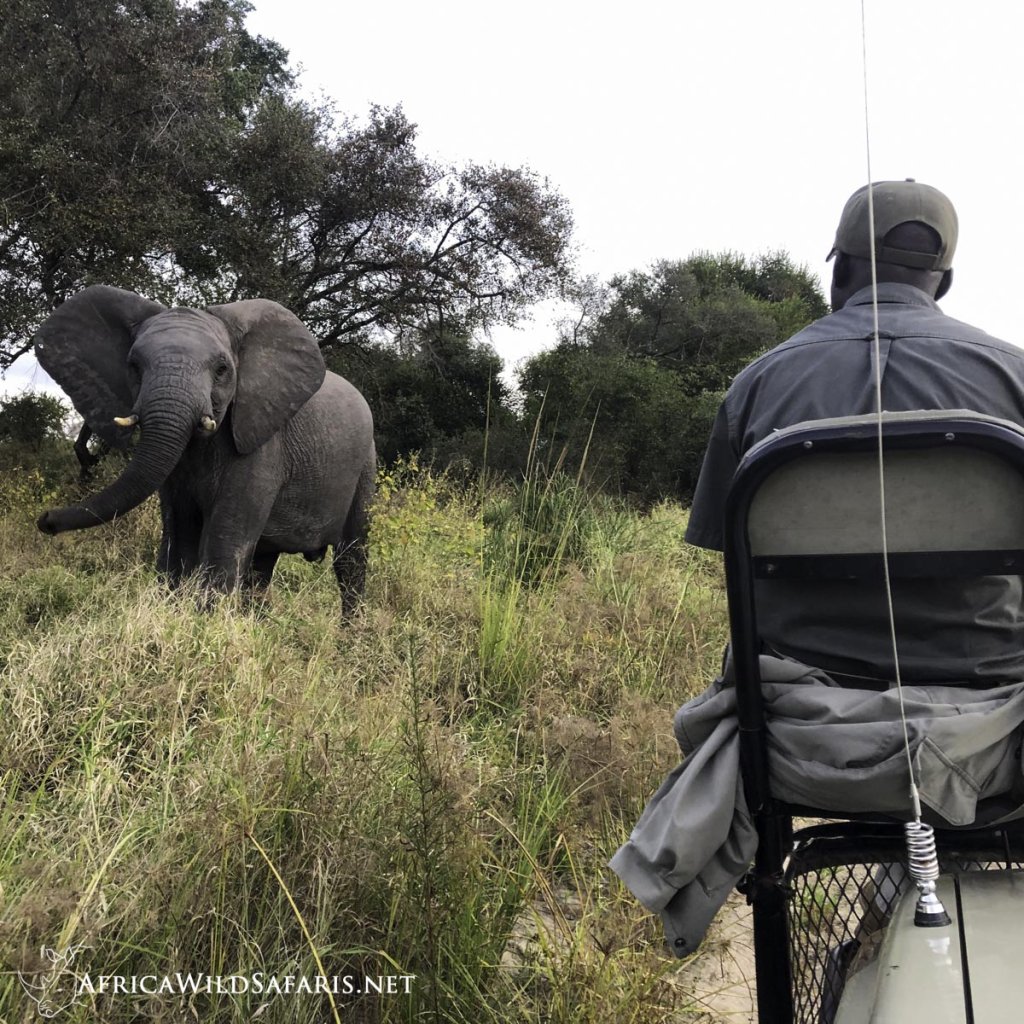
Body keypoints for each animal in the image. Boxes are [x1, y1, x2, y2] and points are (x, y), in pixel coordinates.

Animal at [32, 284, 378, 610]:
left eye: (222, 369)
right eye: (133, 366)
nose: (45, 520)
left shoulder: (261, 445)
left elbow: (225, 540)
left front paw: (207, 619)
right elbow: (179, 534)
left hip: (366, 466)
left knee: (350, 558)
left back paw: (352, 632)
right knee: (262, 564)